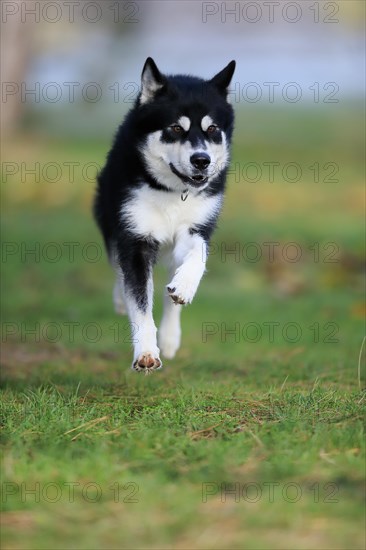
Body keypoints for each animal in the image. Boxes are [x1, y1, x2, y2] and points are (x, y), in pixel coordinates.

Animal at [94, 57, 236, 376]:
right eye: (175, 128)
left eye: (212, 128)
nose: (201, 160)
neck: (173, 191)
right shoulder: (135, 239)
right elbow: (139, 301)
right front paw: (146, 353)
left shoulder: (195, 229)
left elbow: (197, 257)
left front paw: (184, 286)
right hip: (109, 221)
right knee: (118, 267)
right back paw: (120, 299)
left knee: (170, 291)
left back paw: (171, 336)